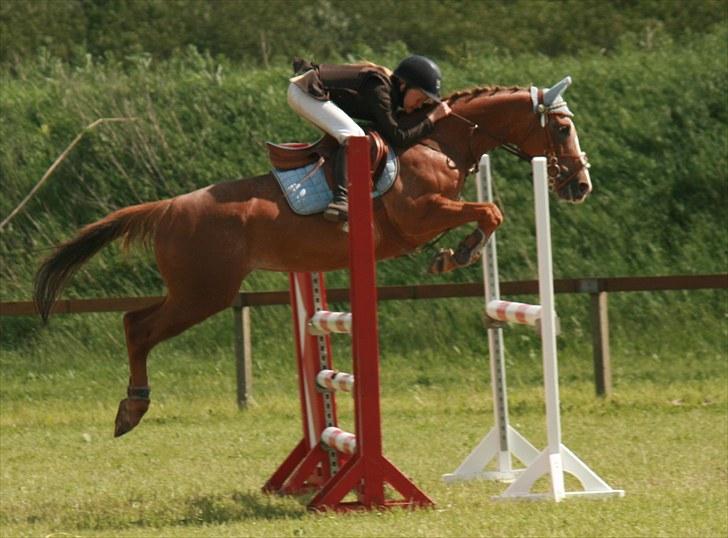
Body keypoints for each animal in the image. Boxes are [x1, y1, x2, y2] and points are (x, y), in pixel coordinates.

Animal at [34, 77, 591, 437]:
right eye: (563, 129)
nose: (580, 186)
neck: (438, 143)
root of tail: (168, 207)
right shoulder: (420, 215)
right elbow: (490, 211)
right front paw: (458, 254)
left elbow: (487, 211)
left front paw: (456, 254)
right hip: (203, 293)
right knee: (139, 327)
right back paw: (131, 409)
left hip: (196, 292)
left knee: (135, 320)